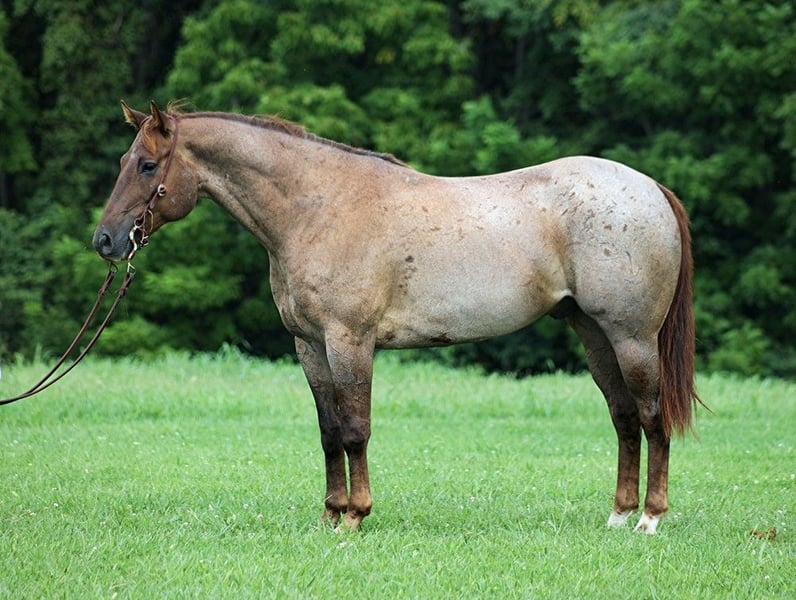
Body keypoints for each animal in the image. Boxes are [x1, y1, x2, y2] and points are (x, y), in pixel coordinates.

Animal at [93, 101, 699, 535]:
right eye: (123, 163)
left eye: (148, 165)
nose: (105, 240)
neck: (318, 207)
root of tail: (651, 188)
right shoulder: (309, 347)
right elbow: (329, 431)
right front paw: (331, 513)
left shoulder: (349, 342)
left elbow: (356, 429)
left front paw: (356, 517)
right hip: (594, 336)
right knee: (624, 419)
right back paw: (619, 515)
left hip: (632, 338)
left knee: (651, 418)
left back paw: (649, 519)